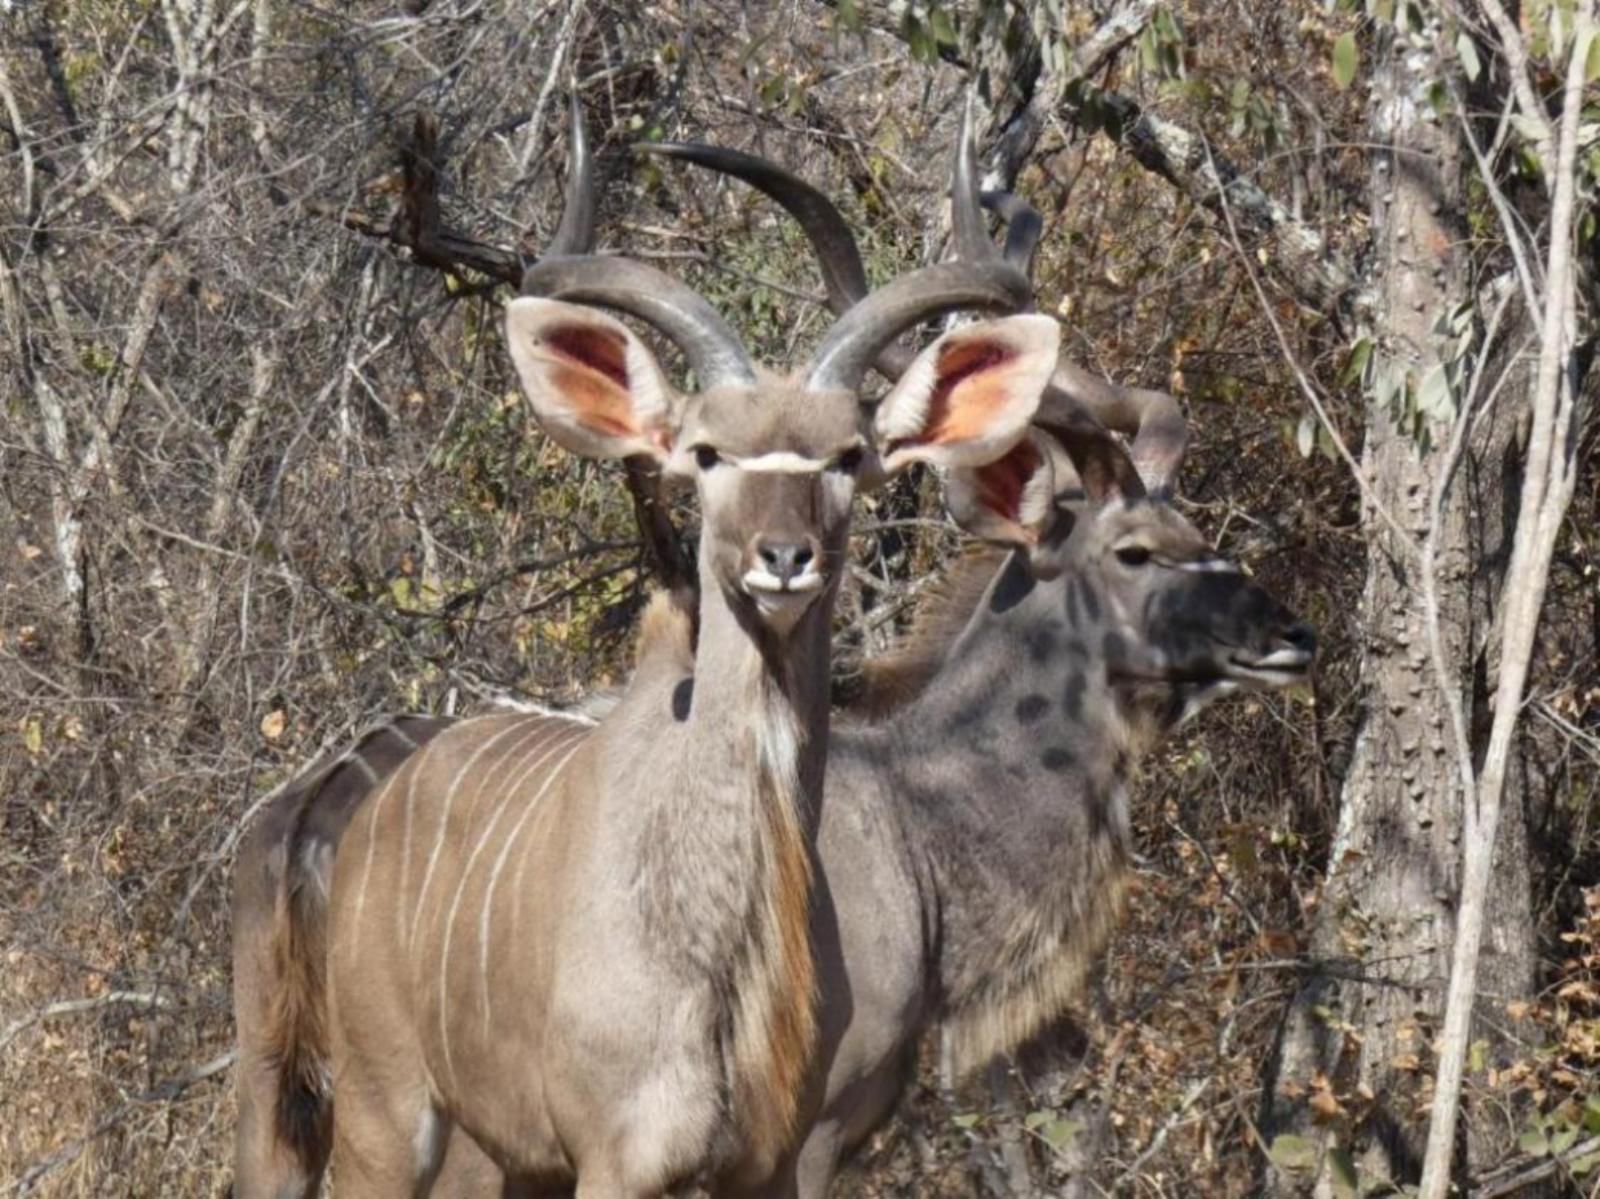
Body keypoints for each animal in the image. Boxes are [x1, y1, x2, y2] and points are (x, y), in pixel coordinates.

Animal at [233, 119, 1312, 1190]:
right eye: (1133, 552)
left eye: (850, 458)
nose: (1287, 634)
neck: (913, 824)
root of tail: (327, 798)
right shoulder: (770, 1135)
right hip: (407, 1121)